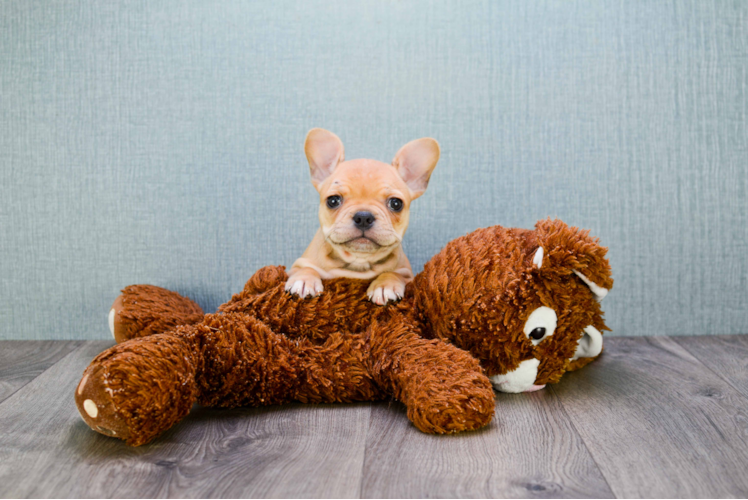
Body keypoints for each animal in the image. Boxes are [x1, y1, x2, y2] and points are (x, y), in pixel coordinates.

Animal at [284, 128, 438, 304]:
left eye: (396, 204)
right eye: (333, 200)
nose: (363, 217)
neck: (358, 261)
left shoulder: (407, 274)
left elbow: (392, 273)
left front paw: (385, 286)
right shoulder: (297, 265)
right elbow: (306, 269)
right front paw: (303, 280)